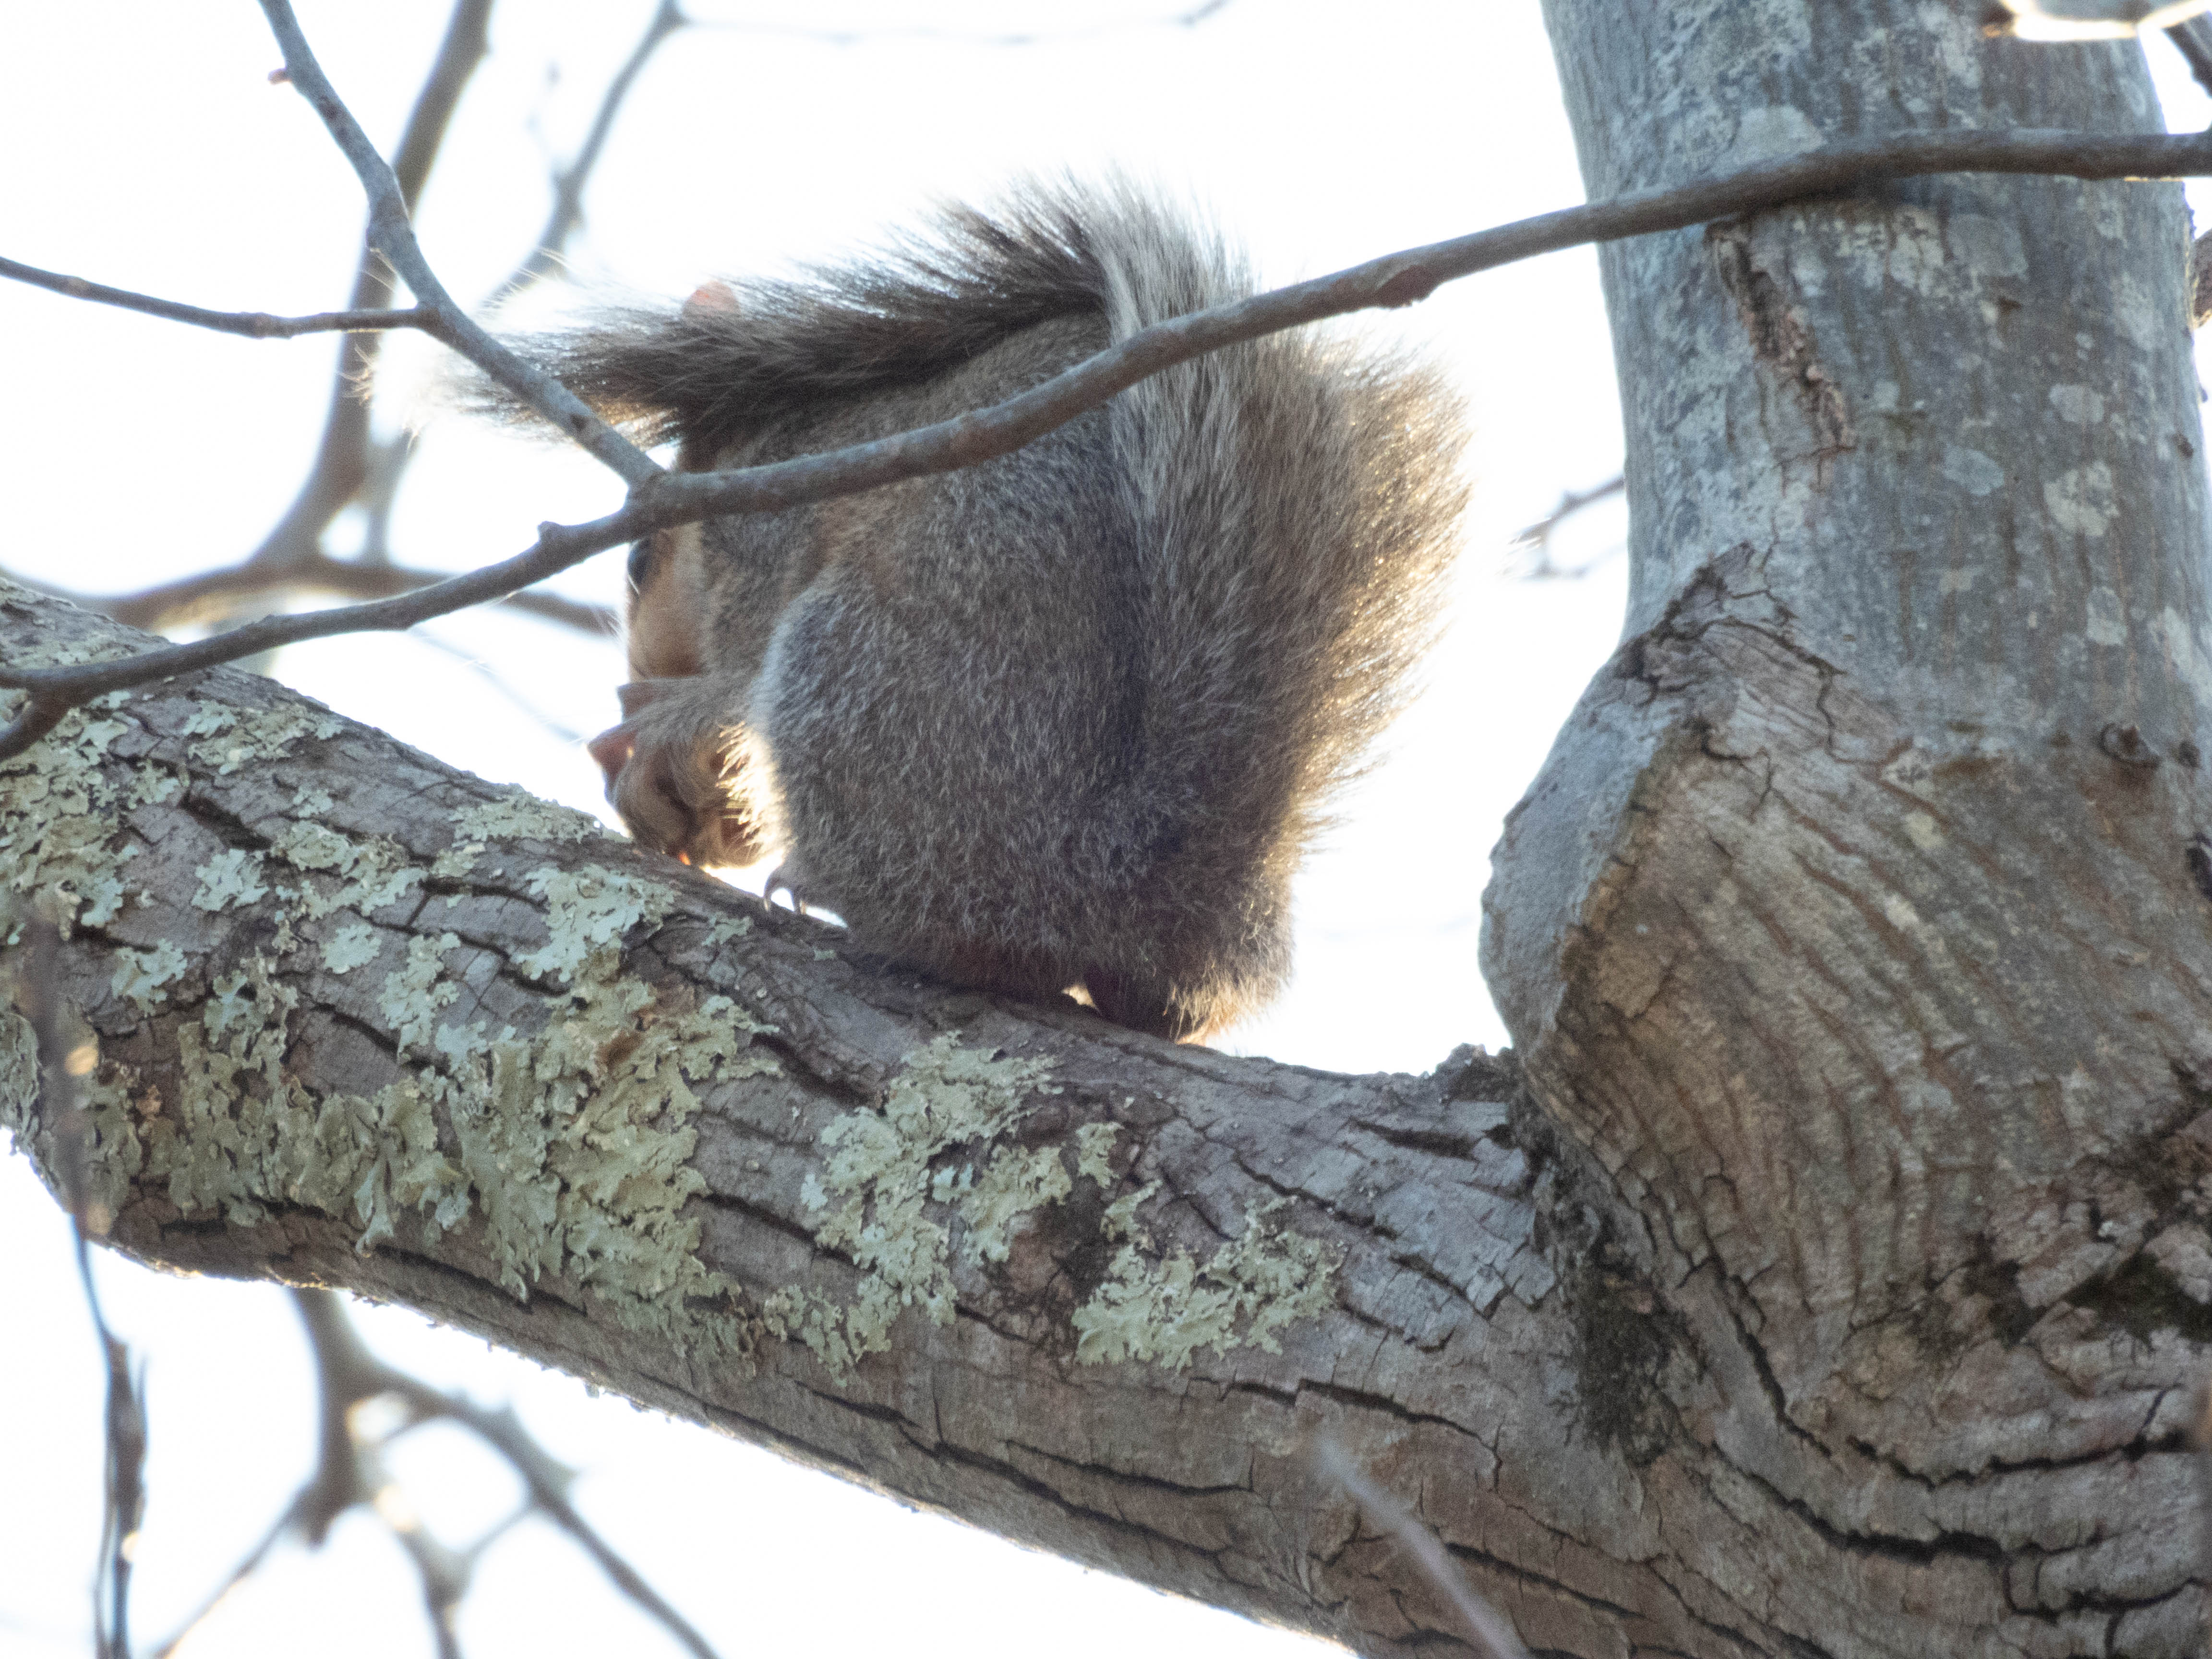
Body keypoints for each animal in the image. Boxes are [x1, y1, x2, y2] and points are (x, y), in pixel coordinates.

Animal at [514, 181, 1466, 1041]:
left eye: (638, 562)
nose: (644, 673)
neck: (770, 443)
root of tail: (1127, 880)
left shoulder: (765, 540)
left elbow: (737, 679)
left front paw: (672, 727)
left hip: (856, 672)